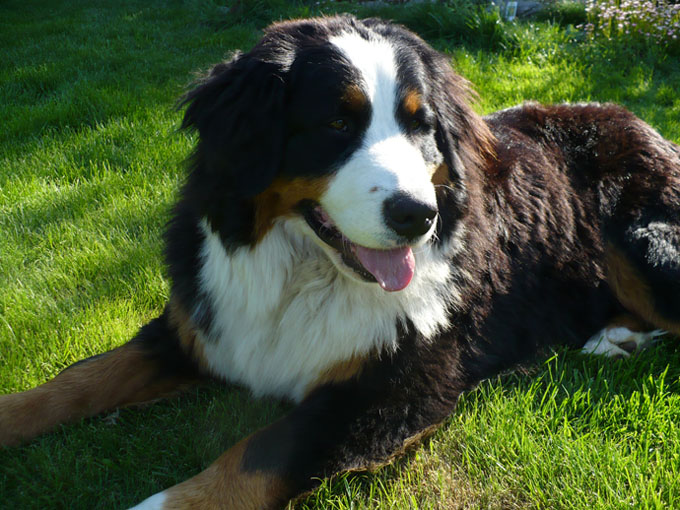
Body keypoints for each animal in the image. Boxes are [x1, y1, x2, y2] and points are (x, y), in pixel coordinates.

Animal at [1, 15, 679, 509]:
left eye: (421, 125)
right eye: (335, 123)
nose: (417, 215)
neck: (302, 272)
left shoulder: (392, 386)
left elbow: (257, 455)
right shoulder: (203, 321)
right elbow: (79, 378)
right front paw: (13, 412)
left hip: (642, 241)